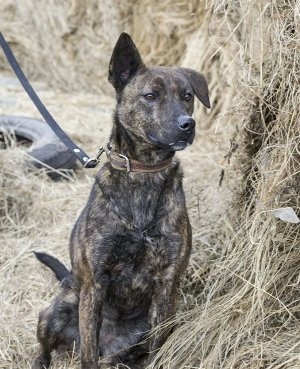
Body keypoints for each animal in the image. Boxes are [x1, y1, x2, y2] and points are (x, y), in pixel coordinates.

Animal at [30, 32, 209, 368]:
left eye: (188, 96)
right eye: (150, 96)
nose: (187, 124)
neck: (144, 172)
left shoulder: (167, 286)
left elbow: (159, 348)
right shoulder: (95, 285)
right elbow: (87, 354)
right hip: (59, 308)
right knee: (45, 347)